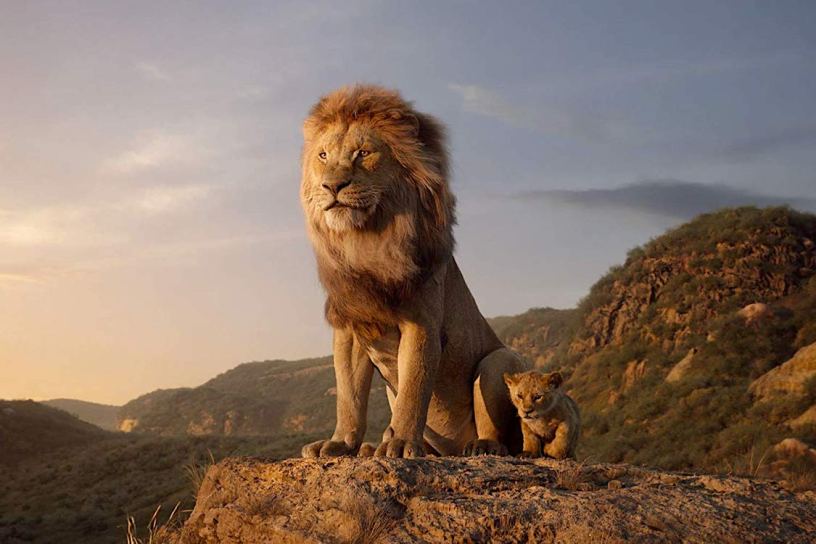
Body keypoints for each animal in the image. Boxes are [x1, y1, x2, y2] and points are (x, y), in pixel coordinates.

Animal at [299, 84, 529, 459]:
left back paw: (481, 446)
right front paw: (340, 443)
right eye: (323, 155)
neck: (366, 241)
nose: (332, 186)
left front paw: (401, 443)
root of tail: (452, 450)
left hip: (499, 361)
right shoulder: (350, 327)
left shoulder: (421, 322)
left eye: (363, 153)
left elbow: (413, 388)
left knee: (501, 433)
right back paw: (372, 448)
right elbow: (349, 396)